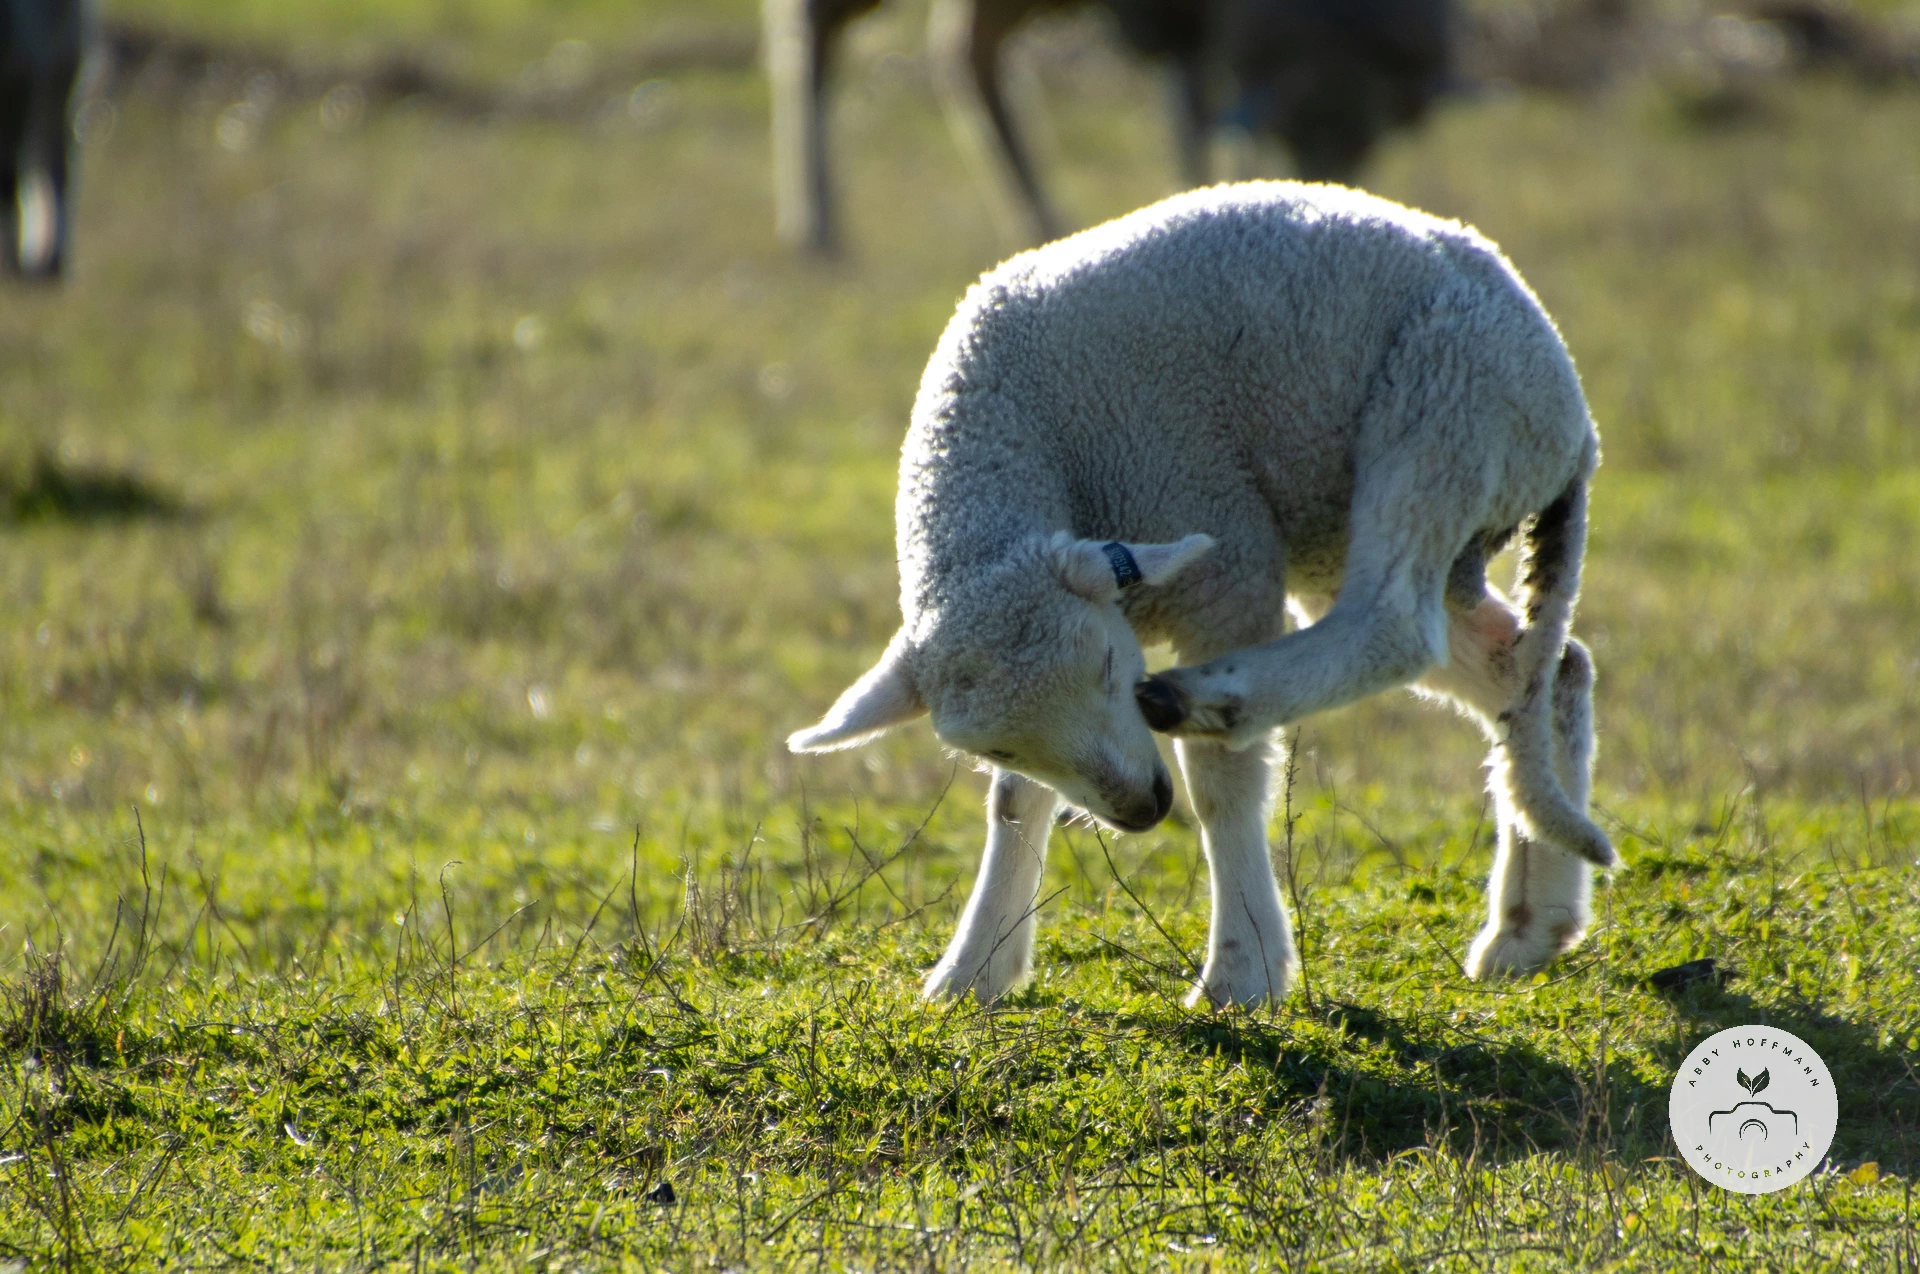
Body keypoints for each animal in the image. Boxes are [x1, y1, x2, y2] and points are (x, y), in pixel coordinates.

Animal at [789, 180, 1614, 1007]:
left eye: (1106, 667)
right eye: (993, 743)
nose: (1142, 810)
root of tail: (1576, 425)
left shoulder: (1226, 558)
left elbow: (1223, 785)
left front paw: (1241, 972)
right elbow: (1016, 801)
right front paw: (974, 970)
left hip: (1442, 405)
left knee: (1393, 624)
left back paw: (1208, 699)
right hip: (1363, 522)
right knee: (1532, 670)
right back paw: (1530, 925)